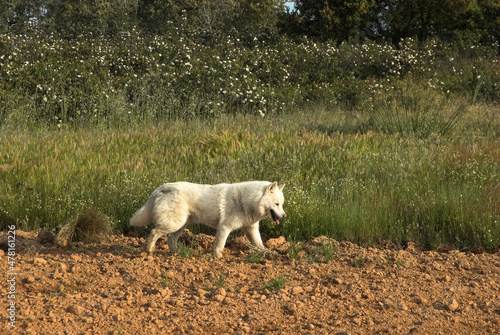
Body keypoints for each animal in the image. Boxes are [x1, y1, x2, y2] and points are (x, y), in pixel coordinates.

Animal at [130, 182, 286, 258]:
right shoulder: (224, 228)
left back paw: (178, 254)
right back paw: (149, 252)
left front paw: (268, 254)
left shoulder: (251, 229)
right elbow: (220, 245)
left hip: (180, 225)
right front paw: (218, 258)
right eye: (276, 204)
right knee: (154, 233)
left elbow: (260, 245)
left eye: (282, 204)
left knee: (170, 240)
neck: (246, 200)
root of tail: (160, 188)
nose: (284, 216)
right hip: (174, 224)